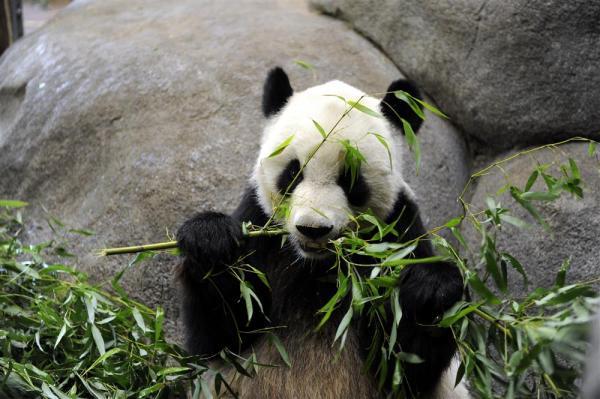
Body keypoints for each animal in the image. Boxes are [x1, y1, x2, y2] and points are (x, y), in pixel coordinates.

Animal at [177, 67, 468, 398]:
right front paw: (210, 241)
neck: (319, 266)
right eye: (293, 173)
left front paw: (431, 288)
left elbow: (405, 362)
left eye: (350, 179)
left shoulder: (398, 234)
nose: (312, 229)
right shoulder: (259, 223)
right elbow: (223, 333)